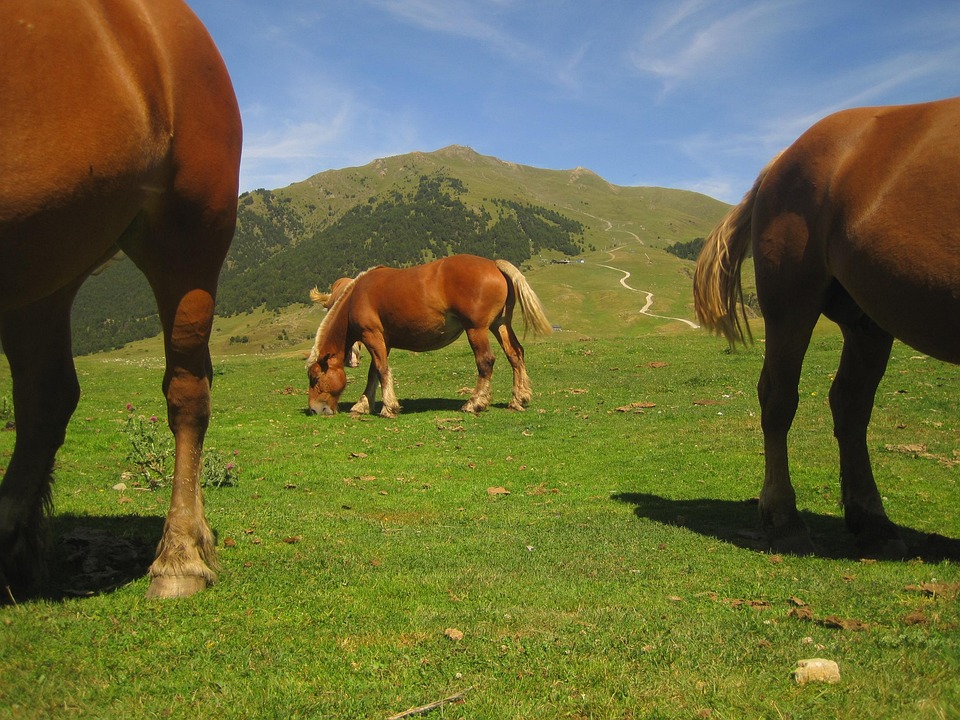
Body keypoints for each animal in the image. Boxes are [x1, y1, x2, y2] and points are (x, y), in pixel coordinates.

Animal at [306, 255, 552, 418]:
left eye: (315, 378)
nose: (315, 409)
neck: (355, 297)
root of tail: (494, 265)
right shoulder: (383, 341)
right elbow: (374, 372)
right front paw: (363, 404)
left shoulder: (371, 336)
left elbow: (382, 370)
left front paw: (388, 407)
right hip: (499, 326)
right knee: (515, 355)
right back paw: (518, 398)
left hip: (477, 329)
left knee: (485, 362)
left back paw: (474, 402)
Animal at [693, 97, 960, 558]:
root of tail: (782, 158)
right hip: (792, 305)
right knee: (779, 399)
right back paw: (784, 518)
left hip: (866, 321)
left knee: (850, 404)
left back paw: (873, 522)